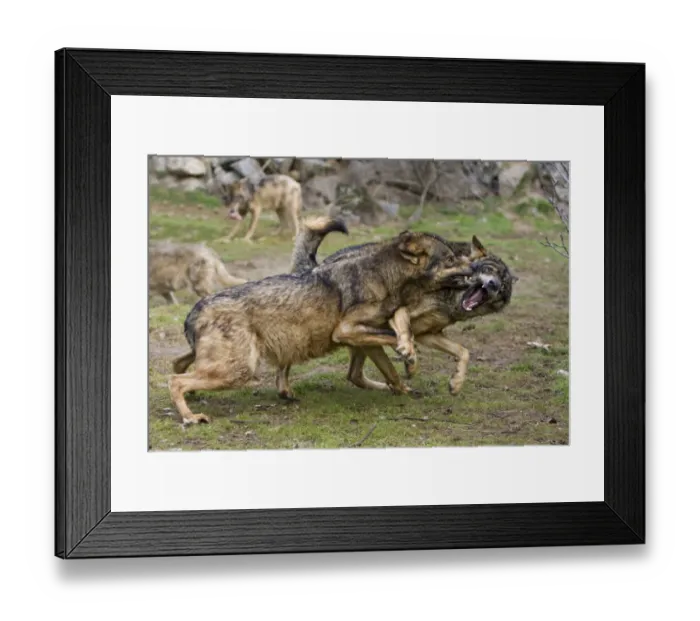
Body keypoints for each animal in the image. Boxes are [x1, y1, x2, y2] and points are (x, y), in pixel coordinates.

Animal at [169, 229, 472, 425]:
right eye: (451, 260)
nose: (474, 269)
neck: (384, 276)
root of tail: (195, 309)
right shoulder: (346, 331)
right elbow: (395, 339)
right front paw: (410, 358)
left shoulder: (366, 336)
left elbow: (396, 355)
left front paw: (411, 373)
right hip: (238, 369)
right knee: (175, 380)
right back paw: (190, 417)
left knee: (178, 364)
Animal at [290, 218, 517, 395]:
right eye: (489, 269)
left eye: (503, 288)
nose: (494, 285)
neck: (447, 299)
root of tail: (315, 269)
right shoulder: (400, 312)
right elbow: (406, 332)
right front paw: (409, 357)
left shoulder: (429, 334)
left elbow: (463, 351)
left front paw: (456, 383)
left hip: (363, 343)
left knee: (355, 375)